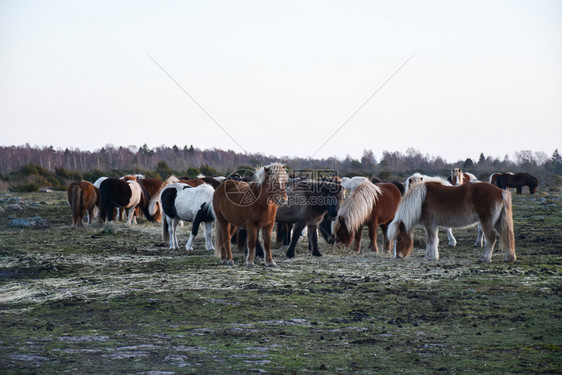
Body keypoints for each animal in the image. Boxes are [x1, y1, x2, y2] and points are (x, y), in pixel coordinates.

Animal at [388, 182, 516, 264]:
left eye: (399, 238)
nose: (397, 256)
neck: (421, 200)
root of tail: (500, 191)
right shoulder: (429, 225)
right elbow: (429, 240)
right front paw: (429, 255)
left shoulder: (431, 224)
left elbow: (433, 240)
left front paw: (432, 257)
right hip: (498, 222)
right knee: (505, 236)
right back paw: (509, 257)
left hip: (487, 222)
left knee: (491, 238)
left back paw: (484, 258)